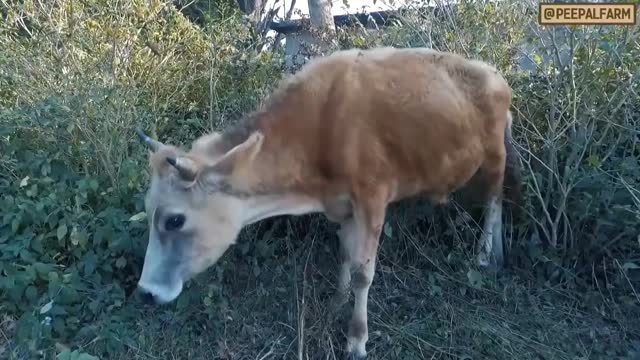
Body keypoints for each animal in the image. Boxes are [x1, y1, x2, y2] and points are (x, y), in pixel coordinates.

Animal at [134, 46, 520, 358]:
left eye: (174, 220)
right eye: (149, 212)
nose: (145, 293)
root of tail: (492, 72)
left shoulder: (373, 197)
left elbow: (364, 272)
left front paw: (357, 339)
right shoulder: (343, 206)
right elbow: (346, 254)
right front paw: (337, 301)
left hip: (495, 155)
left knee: (495, 200)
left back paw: (486, 253)